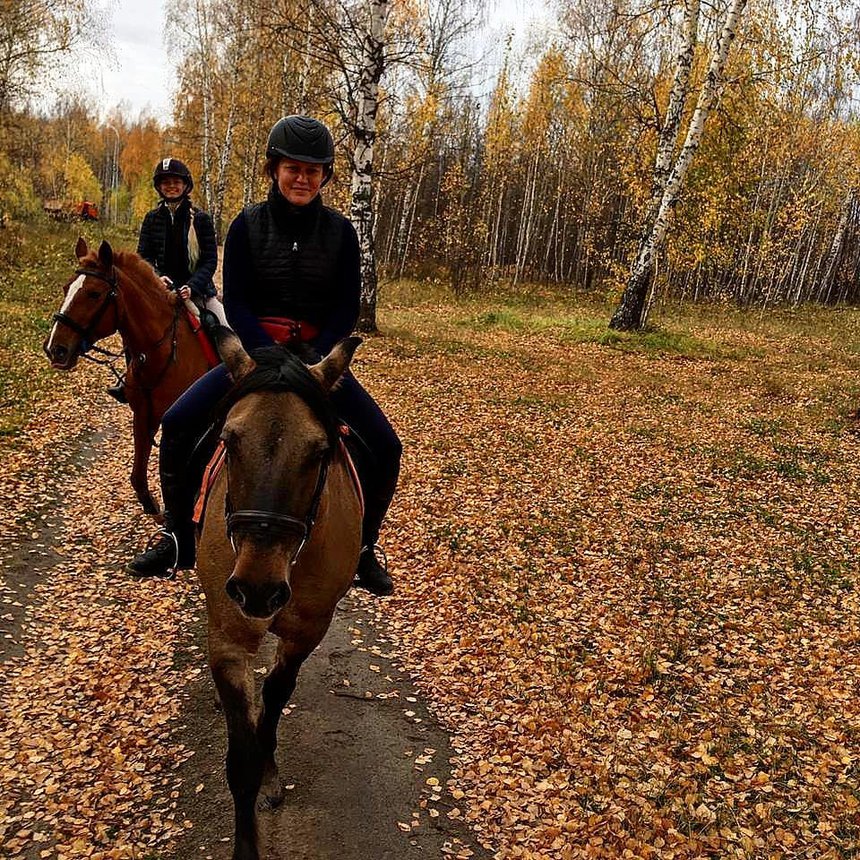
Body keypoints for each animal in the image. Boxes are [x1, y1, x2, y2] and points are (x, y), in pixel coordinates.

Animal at [45, 239, 217, 512]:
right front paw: (157, 512)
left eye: (94, 294)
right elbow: (138, 479)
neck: (163, 351)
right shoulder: (144, 417)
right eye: (65, 288)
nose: (55, 349)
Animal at [197, 330, 362, 860]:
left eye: (319, 451)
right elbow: (240, 762)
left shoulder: (306, 630)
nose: (257, 589)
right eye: (228, 440)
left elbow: (274, 695)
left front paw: (270, 771)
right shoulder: (229, 641)